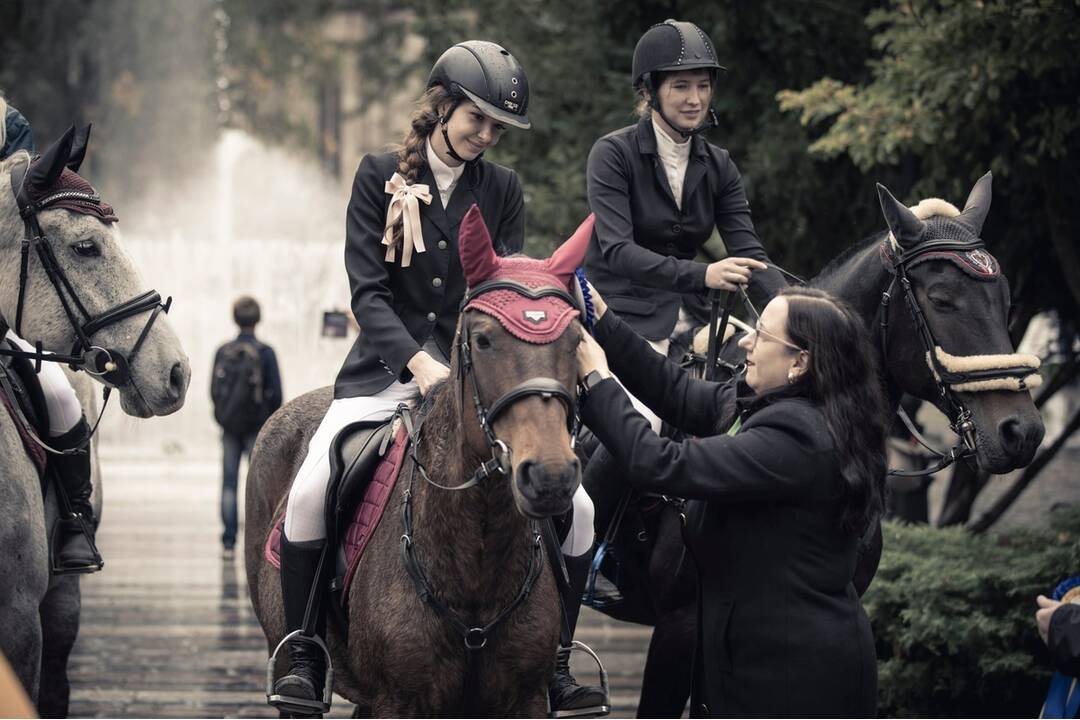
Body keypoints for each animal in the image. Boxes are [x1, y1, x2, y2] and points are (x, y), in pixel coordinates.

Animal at [247, 205, 596, 716]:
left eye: (575, 341)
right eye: (484, 340)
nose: (549, 476)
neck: (477, 553)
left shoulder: (524, 699)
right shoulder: (399, 700)